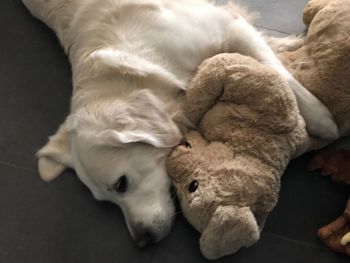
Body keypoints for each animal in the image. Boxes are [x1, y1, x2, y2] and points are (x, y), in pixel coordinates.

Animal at [21, 0, 336, 248]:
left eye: (121, 184)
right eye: (106, 200)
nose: (142, 241)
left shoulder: (224, 25)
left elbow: (277, 70)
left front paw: (321, 118)